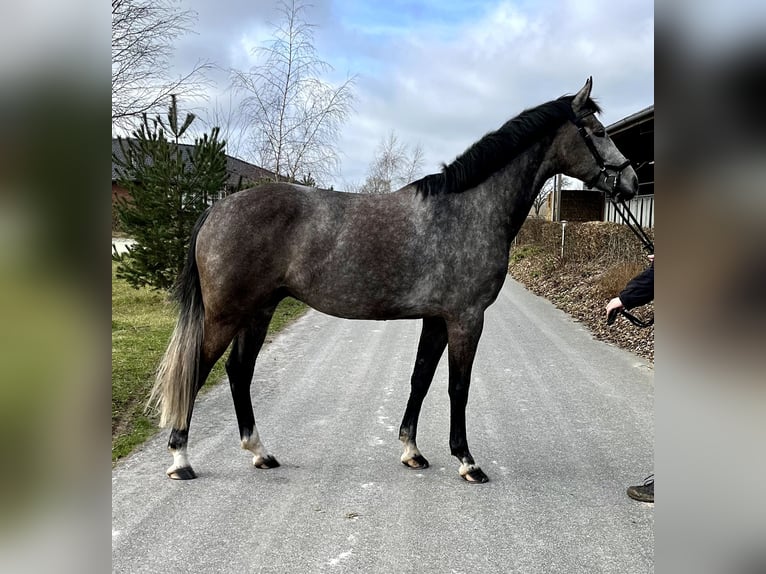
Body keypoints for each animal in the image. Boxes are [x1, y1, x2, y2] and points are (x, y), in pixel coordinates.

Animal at [148, 75, 636, 482]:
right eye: (597, 131)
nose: (631, 181)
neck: (468, 210)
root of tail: (216, 208)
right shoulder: (466, 318)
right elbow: (458, 387)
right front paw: (467, 461)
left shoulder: (436, 318)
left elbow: (420, 378)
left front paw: (412, 452)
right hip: (227, 314)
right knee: (197, 370)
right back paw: (181, 460)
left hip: (260, 310)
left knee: (238, 371)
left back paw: (260, 453)